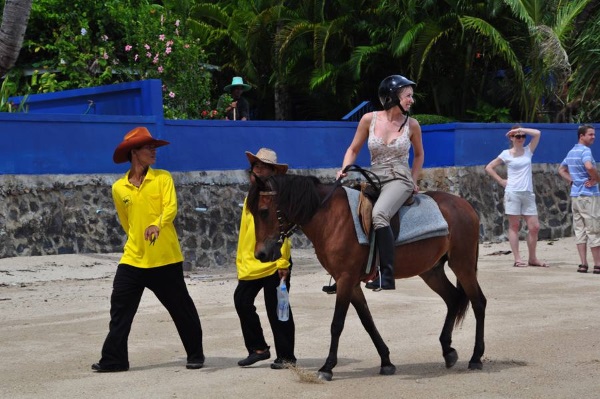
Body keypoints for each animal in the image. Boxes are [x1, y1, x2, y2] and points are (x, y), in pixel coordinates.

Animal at [246, 175, 486, 382]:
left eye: (264, 211)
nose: (261, 254)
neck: (330, 218)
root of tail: (465, 205)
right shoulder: (351, 283)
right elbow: (367, 321)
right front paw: (386, 361)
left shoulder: (345, 279)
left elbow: (337, 324)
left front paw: (327, 367)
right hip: (432, 271)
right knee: (453, 299)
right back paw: (448, 351)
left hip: (462, 265)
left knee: (478, 303)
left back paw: (476, 357)